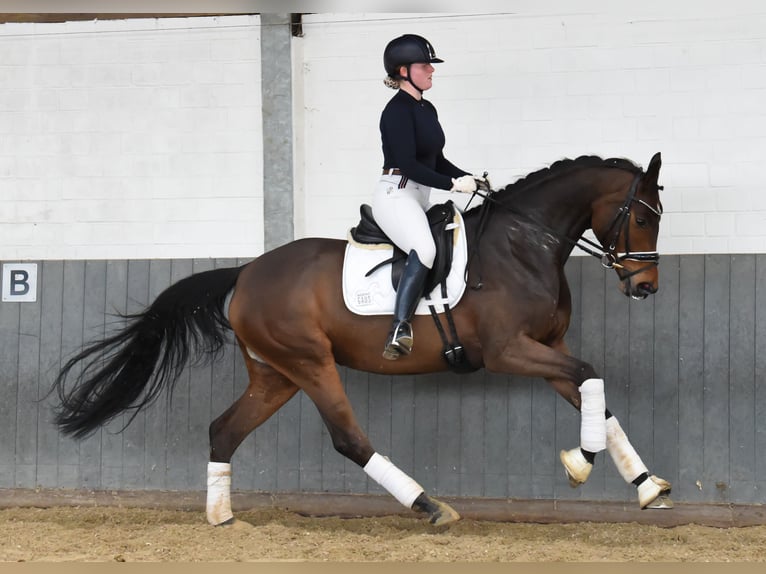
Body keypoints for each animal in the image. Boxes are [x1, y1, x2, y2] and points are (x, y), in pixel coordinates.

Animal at [52, 152, 672, 528]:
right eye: (643, 218)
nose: (645, 287)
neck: (522, 245)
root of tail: (247, 272)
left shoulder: (549, 349)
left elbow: (595, 394)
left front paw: (644, 487)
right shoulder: (508, 351)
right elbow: (590, 378)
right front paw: (579, 463)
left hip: (276, 375)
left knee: (224, 430)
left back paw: (222, 517)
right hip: (311, 363)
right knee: (348, 439)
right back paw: (429, 506)